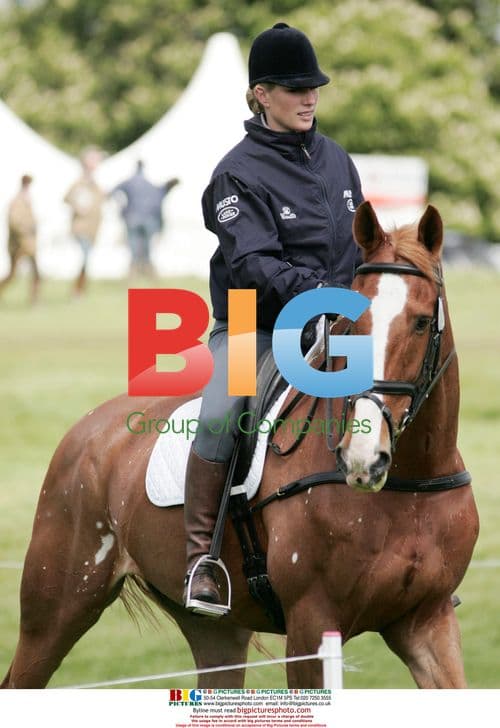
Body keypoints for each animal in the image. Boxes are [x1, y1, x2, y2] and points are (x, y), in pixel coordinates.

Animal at [1, 201, 479, 689]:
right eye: (350, 325)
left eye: (421, 322)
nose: (362, 458)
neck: (409, 488)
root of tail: (87, 429)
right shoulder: (311, 626)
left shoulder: (426, 622)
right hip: (55, 610)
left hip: (215, 630)